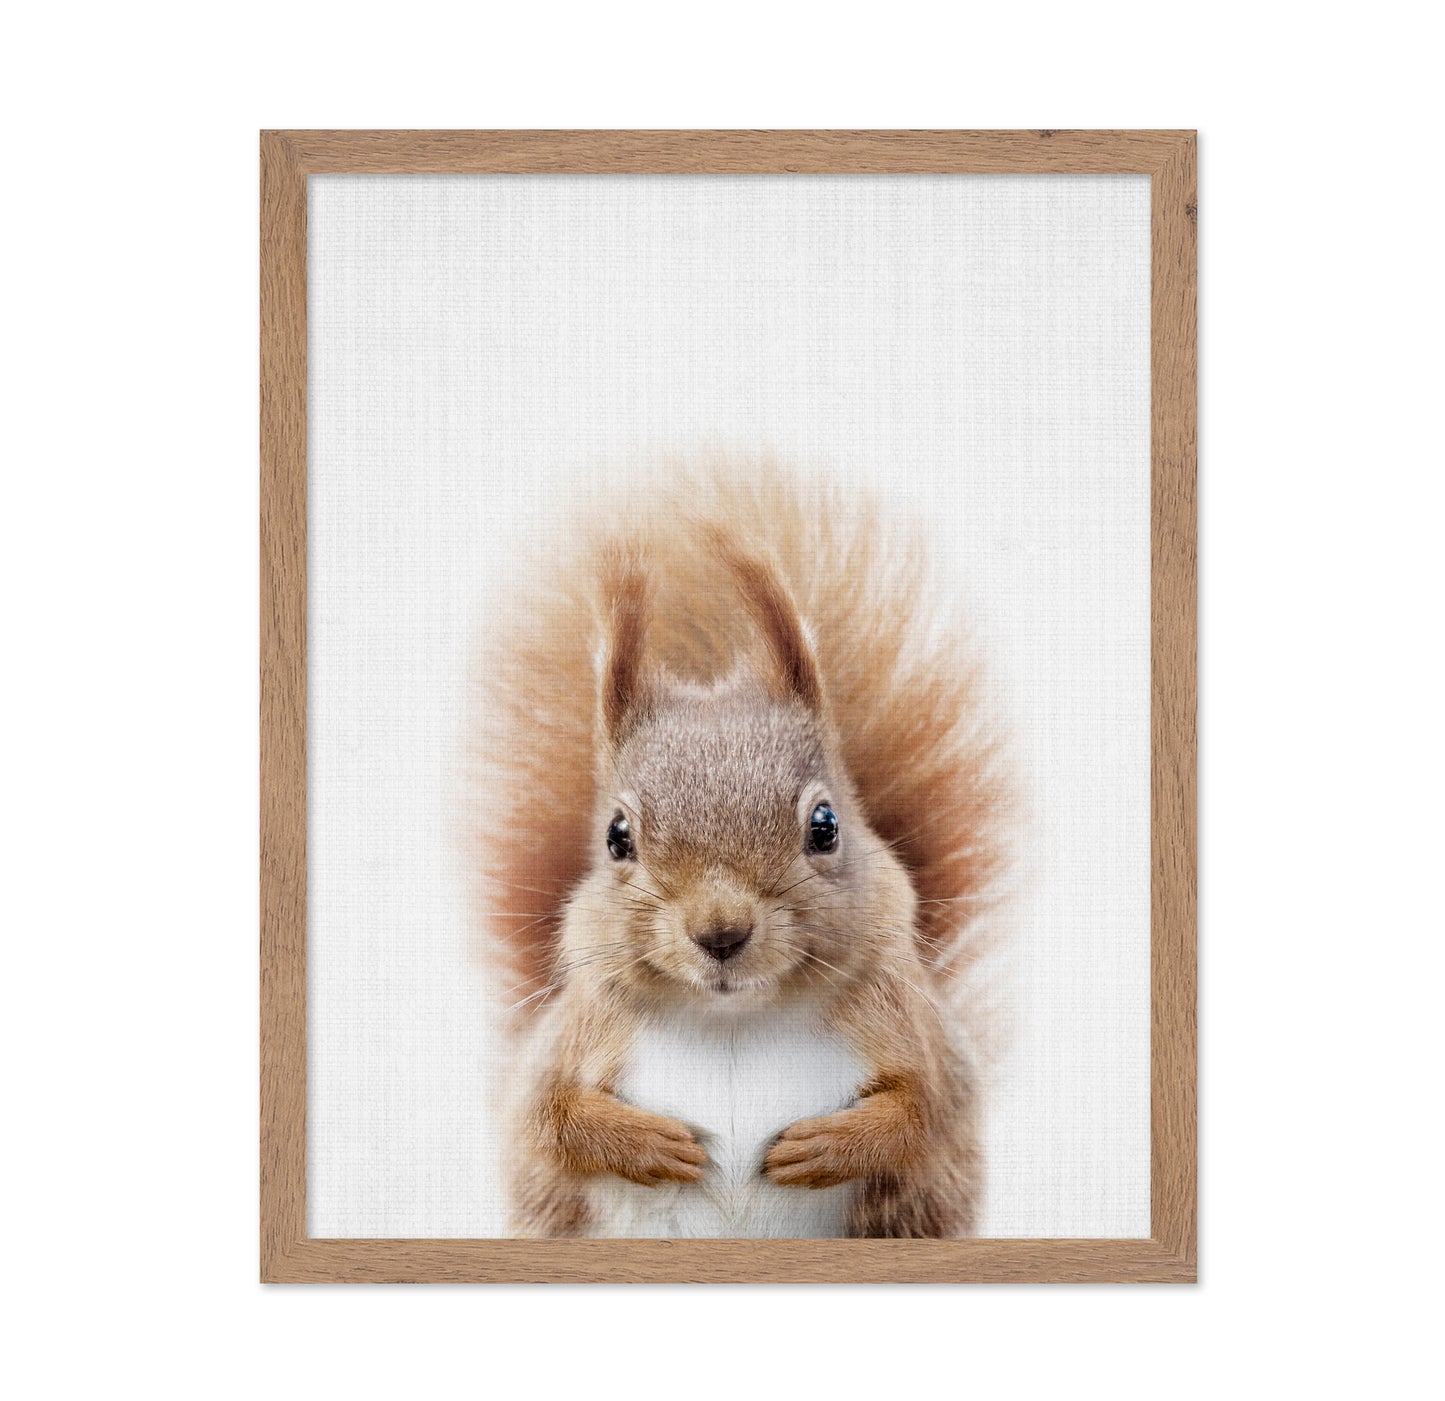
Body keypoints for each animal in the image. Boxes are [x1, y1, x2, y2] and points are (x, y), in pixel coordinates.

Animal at [471, 463, 1013, 1238]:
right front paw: (648, 1142)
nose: (721, 932)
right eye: (616, 836)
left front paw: (830, 1143)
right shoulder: (573, 1038)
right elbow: (548, 1116)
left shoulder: (918, 1033)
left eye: (825, 825)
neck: (733, 1021)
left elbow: (926, 1109)